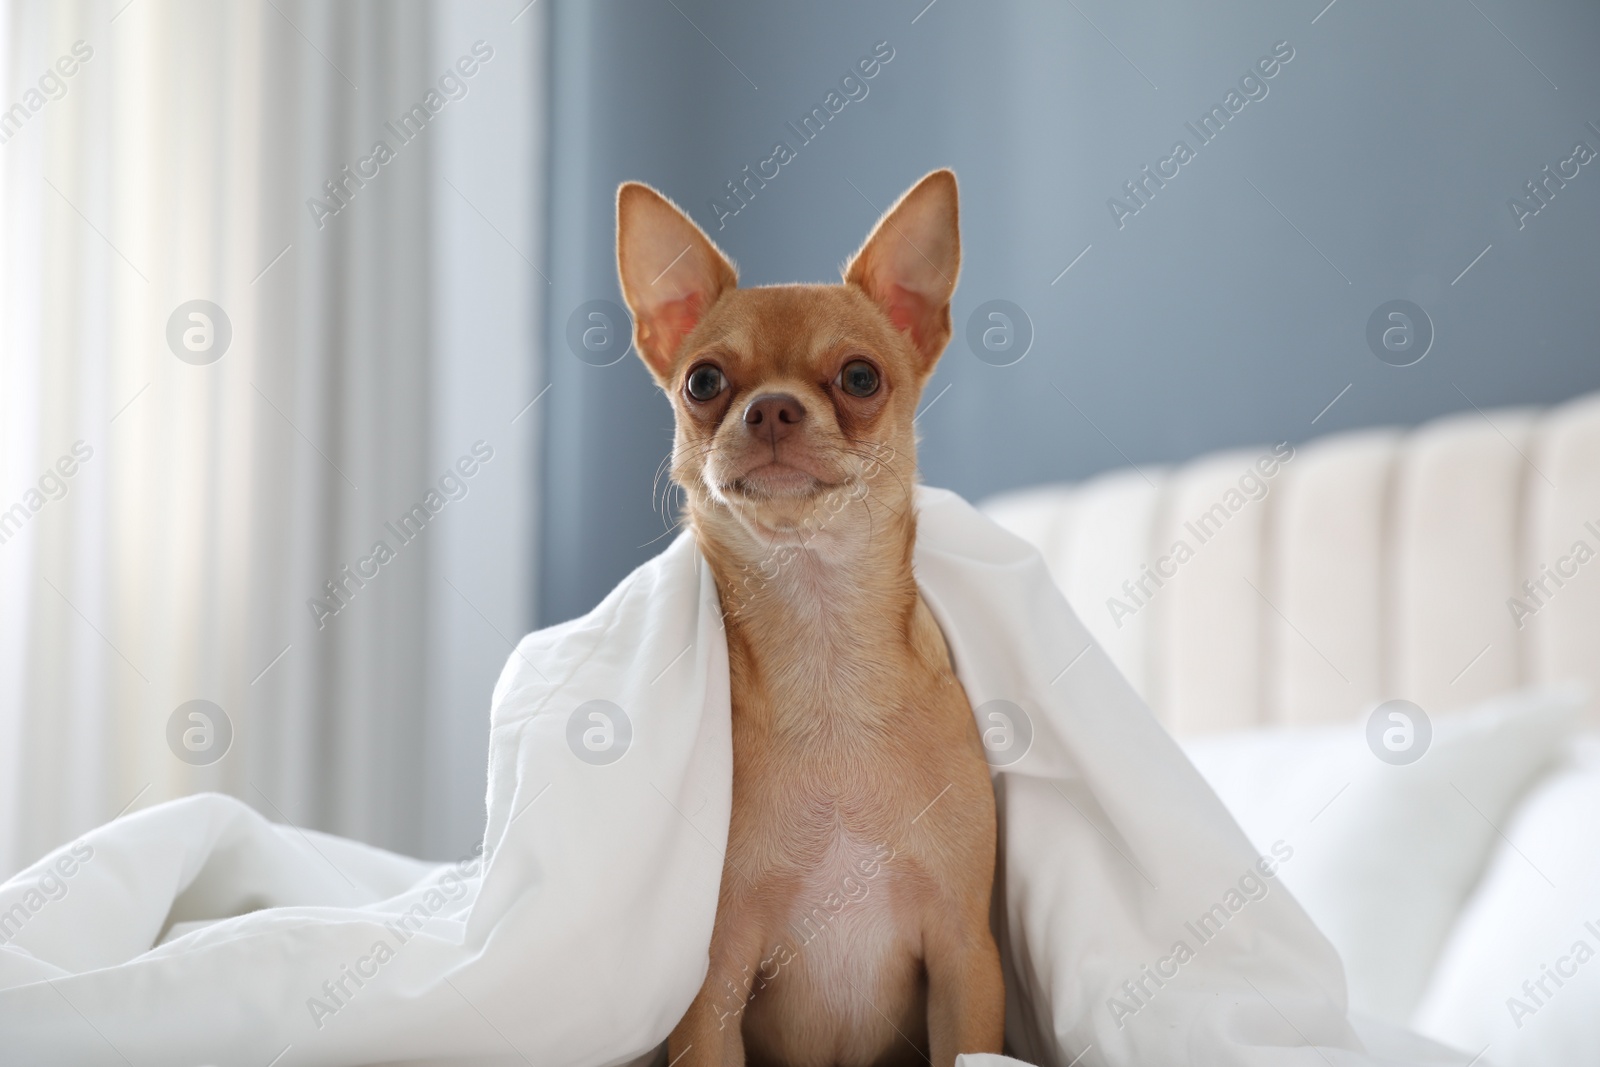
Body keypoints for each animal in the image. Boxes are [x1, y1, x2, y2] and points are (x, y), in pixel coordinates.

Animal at [614, 171, 998, 1062]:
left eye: (859, 377)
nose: (773, 409)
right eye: (703, 382)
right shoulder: (712, 983)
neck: (821, 646)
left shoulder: (967, 954)